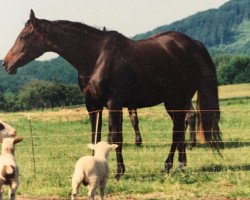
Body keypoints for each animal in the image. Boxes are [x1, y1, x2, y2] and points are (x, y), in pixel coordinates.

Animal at [2, 9, 223, 178]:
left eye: (24, 36)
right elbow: (95, 138)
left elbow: (114, 138)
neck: (95, 57)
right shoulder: (93, 106)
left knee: (178, 128)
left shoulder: (114, 104)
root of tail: (193, 44)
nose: (6, 63)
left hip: (177, 98)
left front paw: (118, 172)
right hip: (173, 101)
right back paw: (179, 165)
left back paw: (169, 165)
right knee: (179, 127)